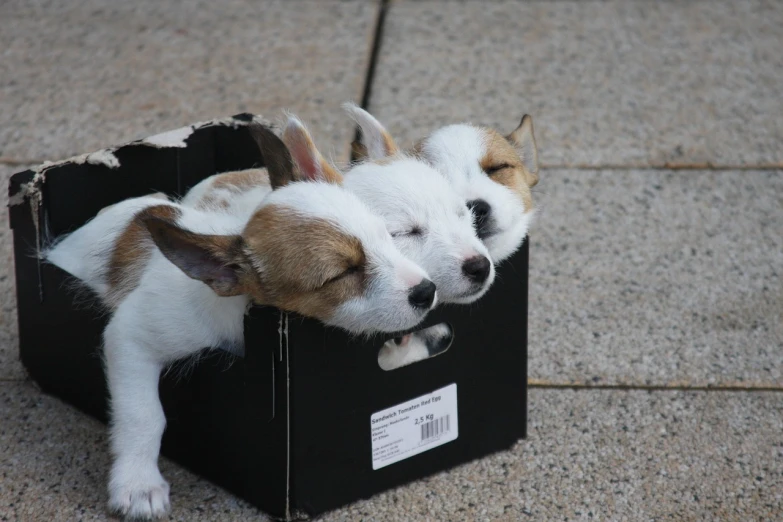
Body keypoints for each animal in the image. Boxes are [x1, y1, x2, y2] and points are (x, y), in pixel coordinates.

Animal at [43, 117, 438, 516]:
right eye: (341, 275)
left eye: (386, 236)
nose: (427, 291)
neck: (240, 313)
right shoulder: (132, 336)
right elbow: (144, 414)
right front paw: (138, 484)